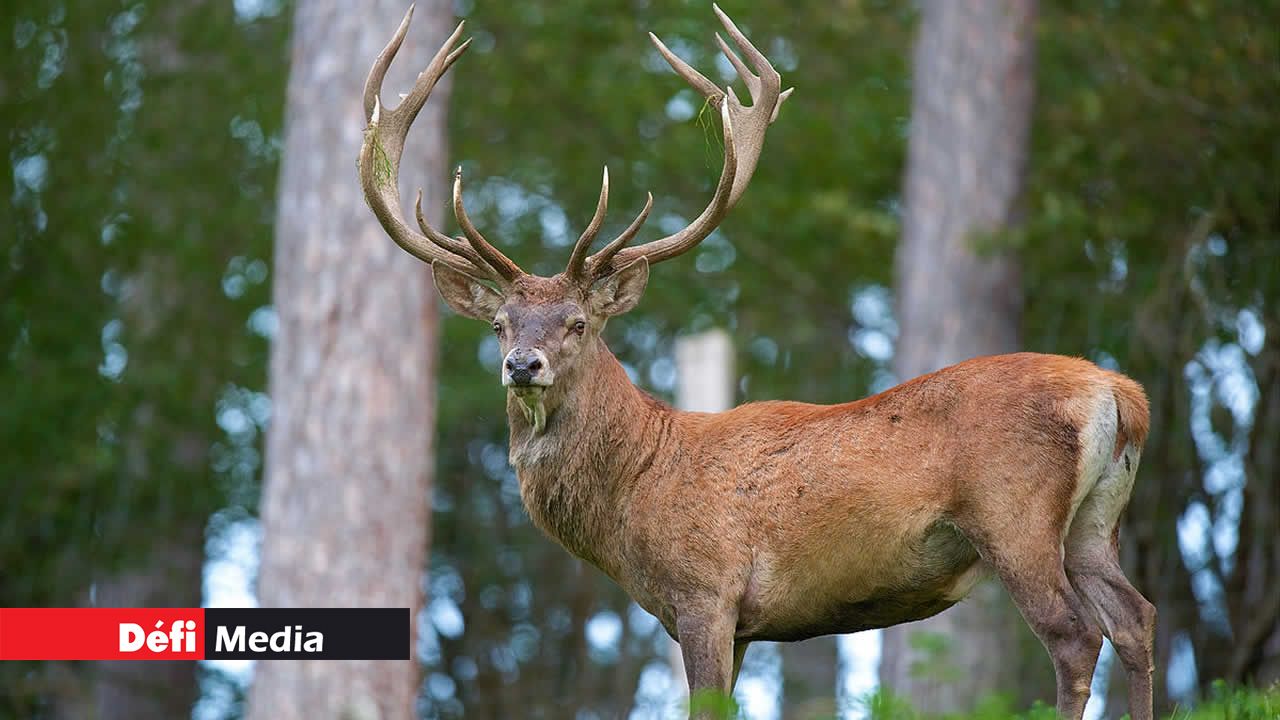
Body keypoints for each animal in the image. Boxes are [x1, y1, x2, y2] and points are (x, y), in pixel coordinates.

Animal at [358, 5, 1157, 718]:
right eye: (499, 325)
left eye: (578, 323)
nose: (523, 365)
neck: (637, 489)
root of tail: (1119, 392)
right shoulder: (739, 624)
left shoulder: (705, 593)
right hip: (1094, 523)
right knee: (1136, 619)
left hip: (1014, 515)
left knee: (1075, 638)